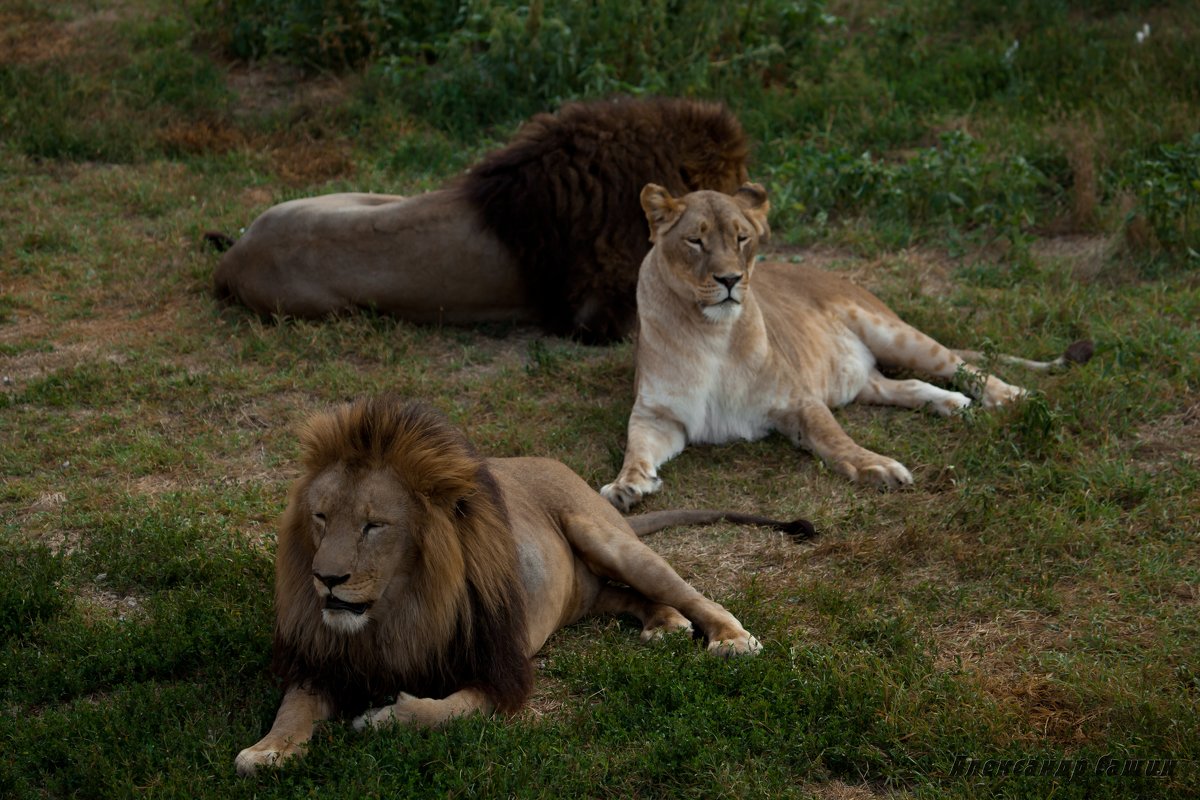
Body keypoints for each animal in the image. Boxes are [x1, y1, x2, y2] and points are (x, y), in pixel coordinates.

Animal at [236, 395, 816, 777]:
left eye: (373, 525)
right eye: (321, 517)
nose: (325, 578)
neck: (395, 615)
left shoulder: (500, 672)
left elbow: (441, 711)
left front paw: (382, 718)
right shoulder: (322, 658)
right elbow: (294, 707)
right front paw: (268, 750)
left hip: (604, 536)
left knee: (686, 591)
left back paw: (730, 638)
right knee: (618, 594)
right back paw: (663, 623)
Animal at [597, 184, 1089, 510]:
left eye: (741, 237)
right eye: (695, 240)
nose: (730, 279)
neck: (711, 333)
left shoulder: (799, 401)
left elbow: (837, 440)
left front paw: (878, 468)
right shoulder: (659, 416)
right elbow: (636, 448)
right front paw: (625, 486)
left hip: (893, 333)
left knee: (959, 365)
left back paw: (1010, 397)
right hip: (860, 378)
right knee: (908, 386)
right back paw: (954, 405)